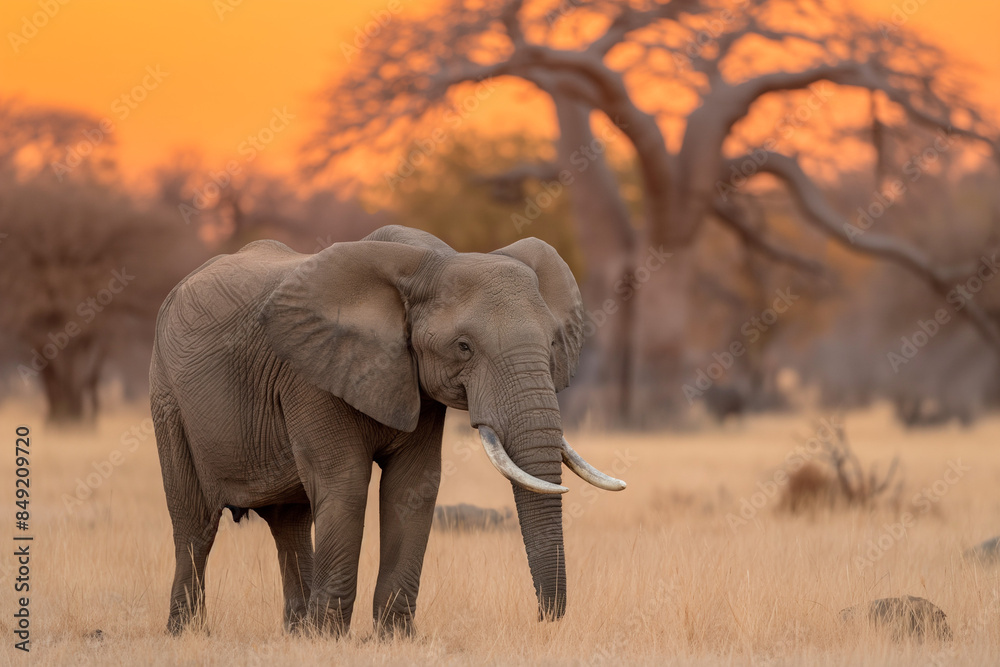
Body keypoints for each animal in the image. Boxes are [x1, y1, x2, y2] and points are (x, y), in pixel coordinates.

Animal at [149, 225, 625, 636]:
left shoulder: (417, 387)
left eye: (552, 344)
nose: (545, 619)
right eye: (463, 347)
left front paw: (392, 638)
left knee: (290, 523)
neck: (428, 262)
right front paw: (330, 639)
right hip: (168, 397)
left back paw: (296, 632)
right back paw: (187, 633)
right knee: (194, 523)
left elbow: (412, 488)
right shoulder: (312, 374)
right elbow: (346, 485)